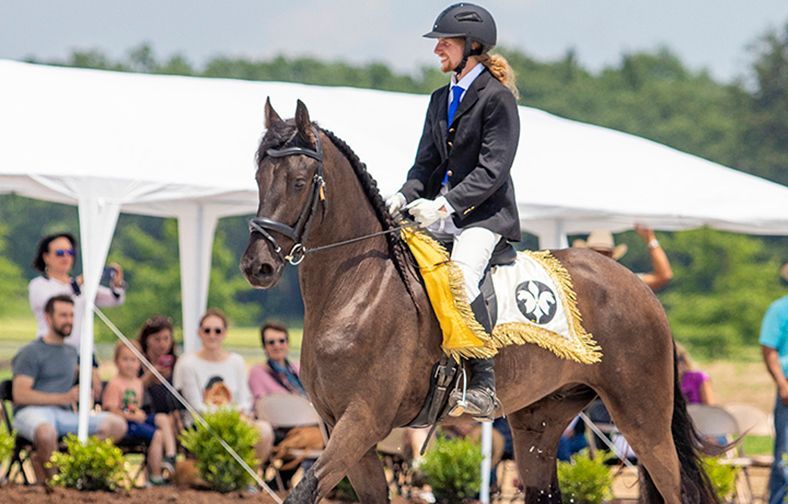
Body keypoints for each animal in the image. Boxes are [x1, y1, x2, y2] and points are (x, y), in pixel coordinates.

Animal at [240, 99, 718, 503]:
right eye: (259, 179)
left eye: (299, 182)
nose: (257, 265)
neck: (358, 289)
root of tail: (641, 287)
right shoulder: (335, 423)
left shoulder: (362, 420)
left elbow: (303, 491)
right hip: (539, 420)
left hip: (643, 418)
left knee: (675, 488)